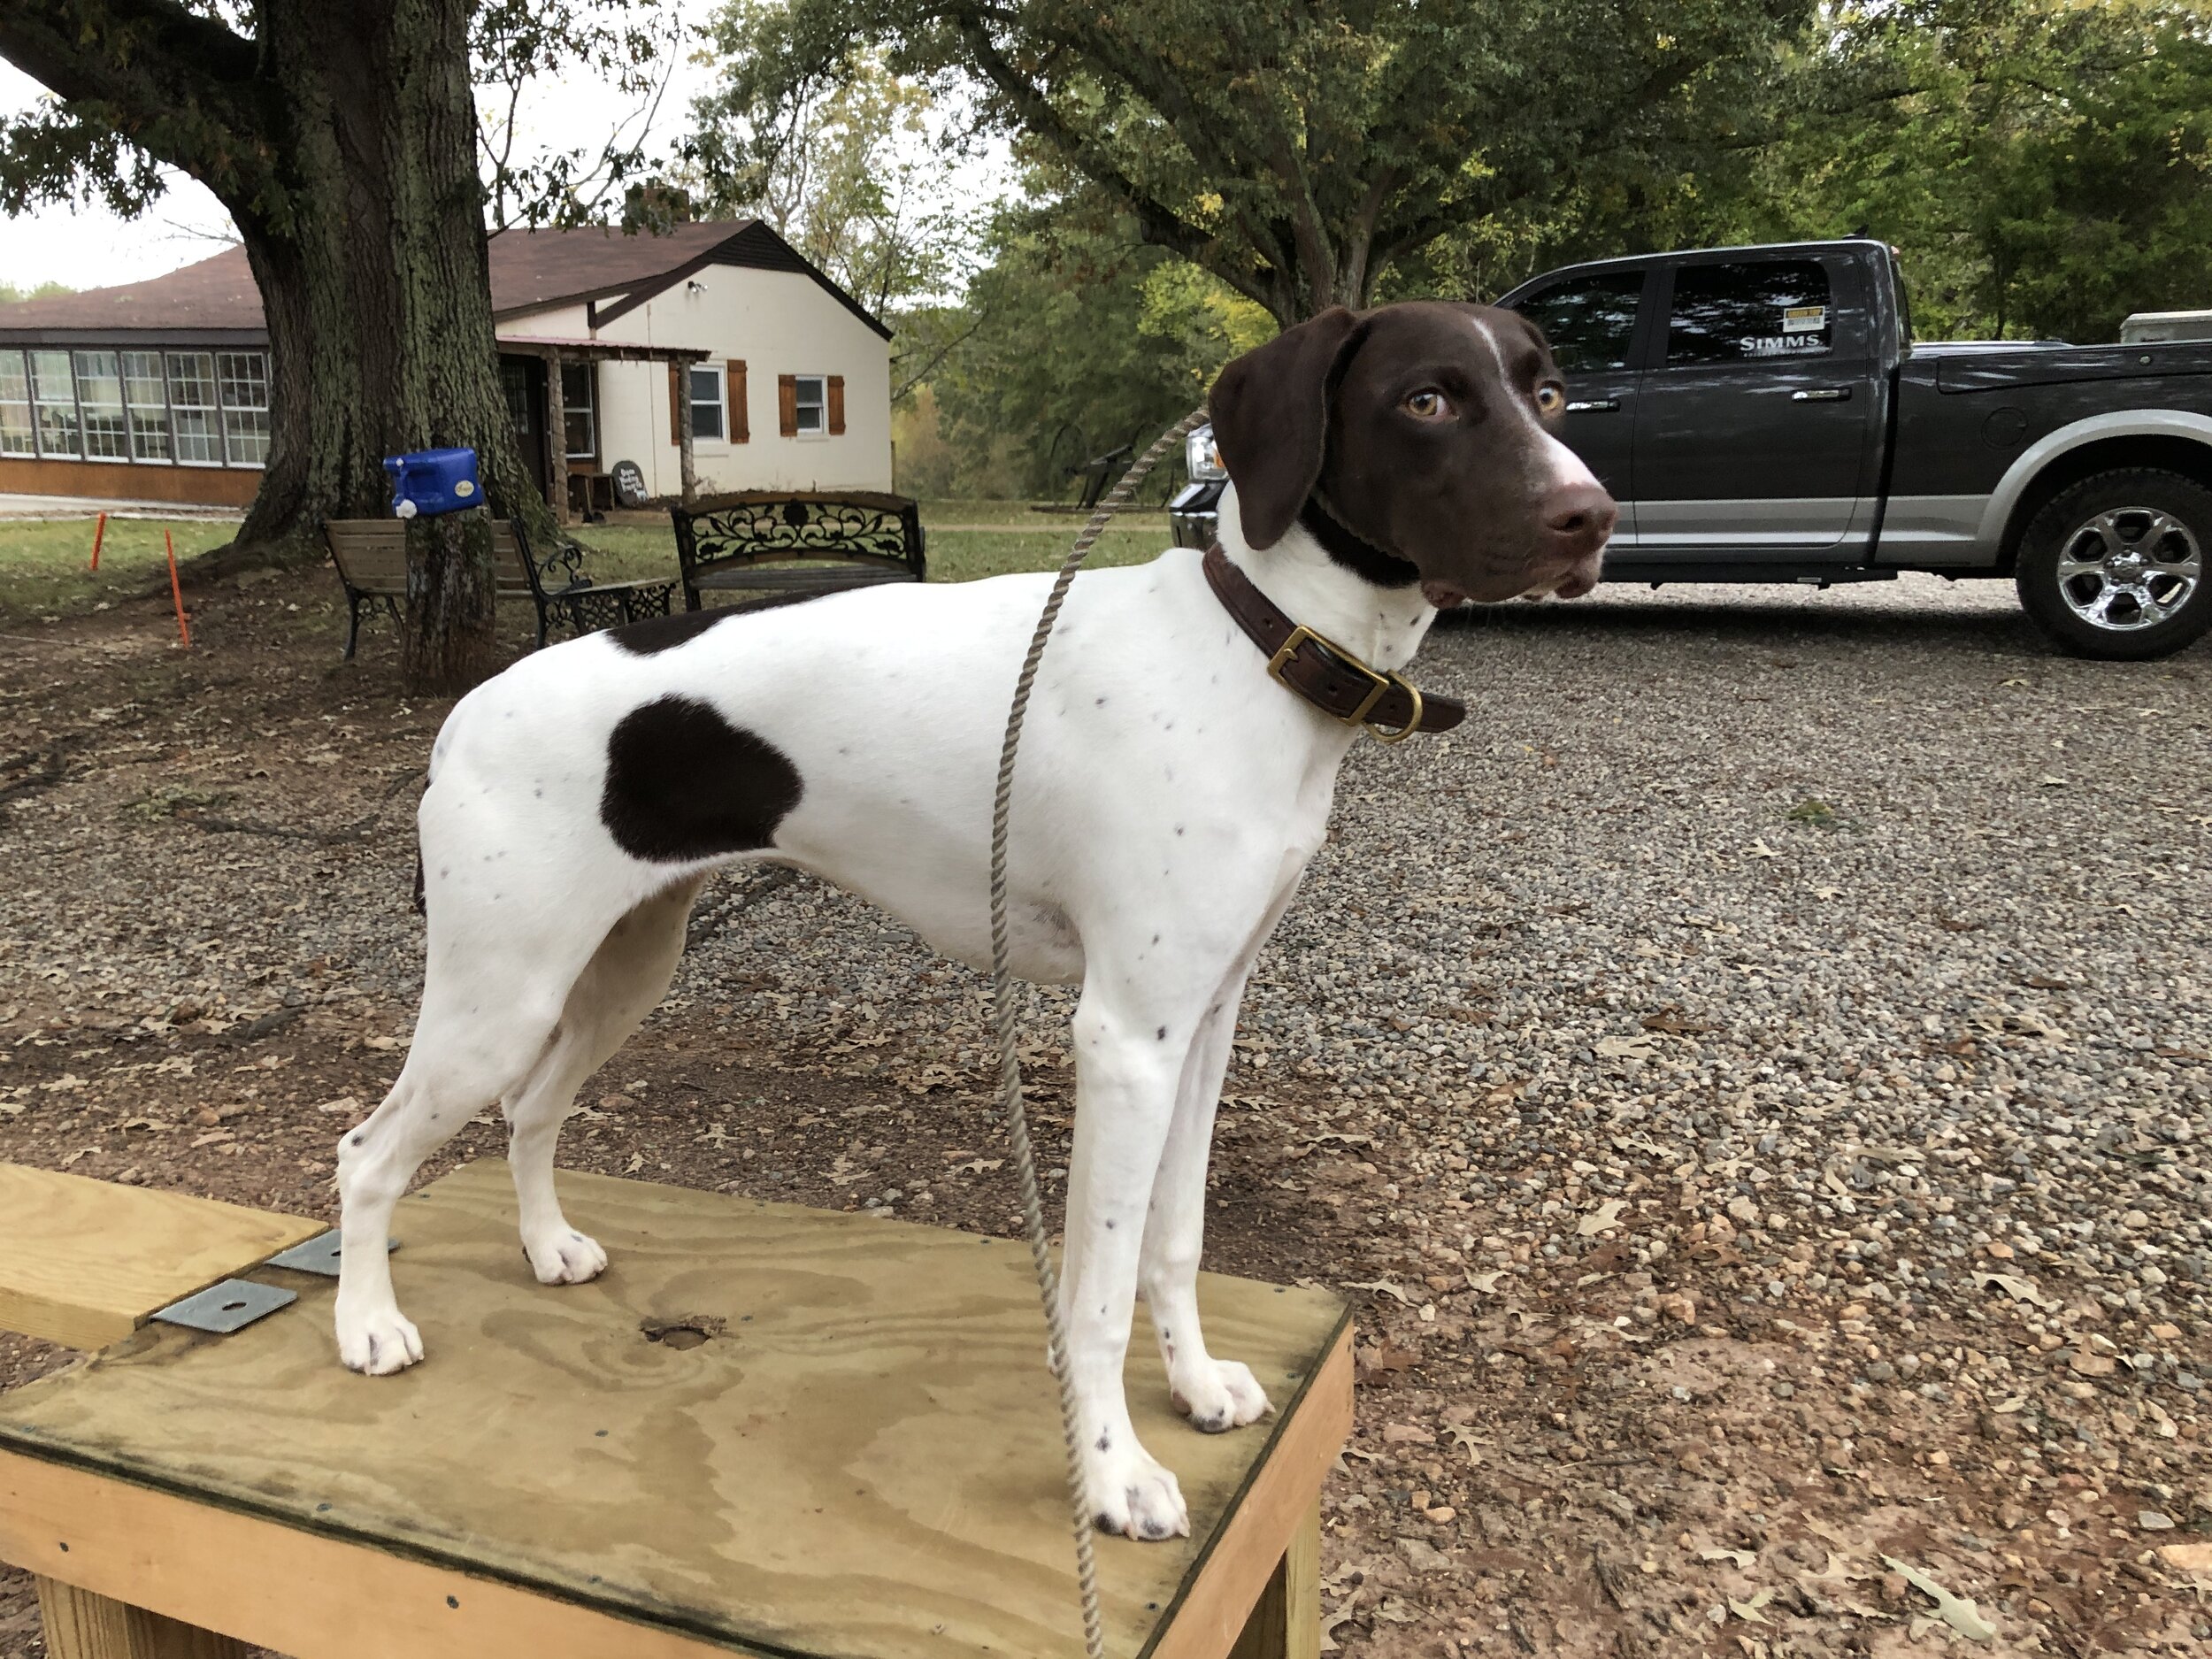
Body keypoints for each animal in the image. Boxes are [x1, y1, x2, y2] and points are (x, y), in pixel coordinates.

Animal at [332, 303, 1610, 1548]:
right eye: (1426, 398)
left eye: (1547, 392)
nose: (1590, 516)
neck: (1249, 651)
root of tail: (466, 714)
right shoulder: (1125, 1040)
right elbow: (1096, 1293)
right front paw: (1112, 1474)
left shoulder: (1201, 1026)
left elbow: (1175, 1239)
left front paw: (1195, 1387)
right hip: (500, 999)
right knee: (368, 1154)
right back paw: (367, 1325)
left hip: (615, 972)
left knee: (529, 1110)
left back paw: (546, 1247)